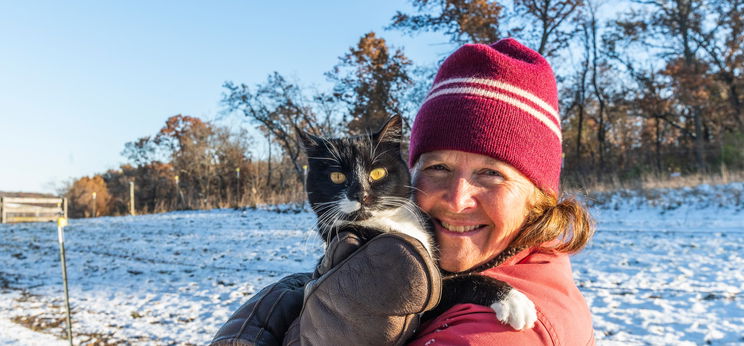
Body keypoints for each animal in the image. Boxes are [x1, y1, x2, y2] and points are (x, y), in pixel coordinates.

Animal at [300, 115, 536, 330]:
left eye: (378, 172)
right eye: (337, 177)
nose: (361, 194)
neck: (388, 221)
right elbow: (458, 283)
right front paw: (513, 300)